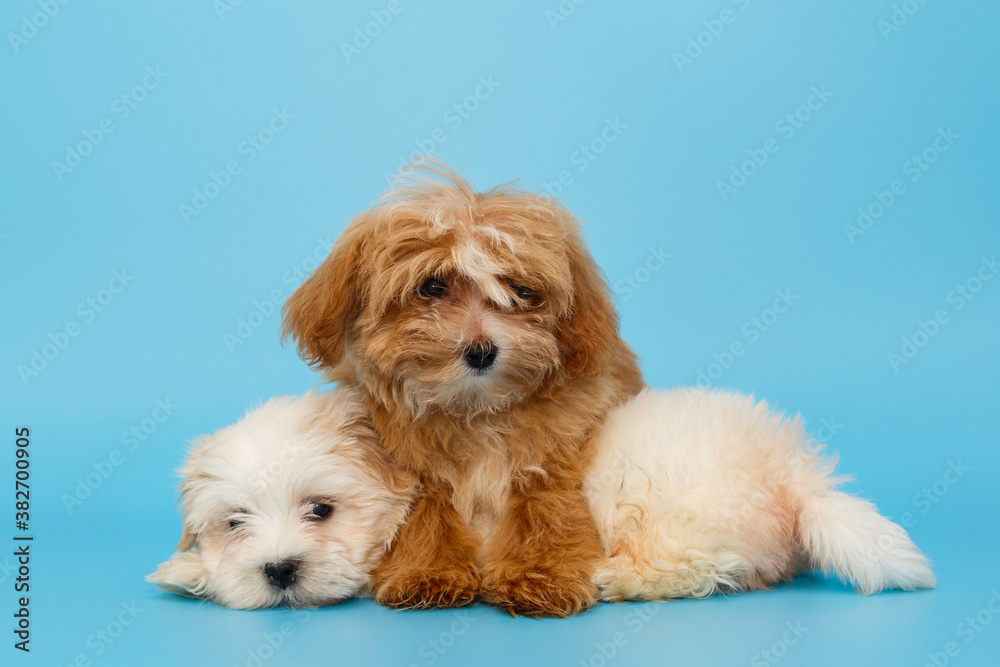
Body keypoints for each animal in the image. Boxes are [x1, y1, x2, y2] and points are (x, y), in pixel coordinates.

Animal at [282, 159, 644, 616]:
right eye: (432, 287)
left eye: (521, 291)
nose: (482, 351)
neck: (476, 410)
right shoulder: (416, 470)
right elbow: (427, 516)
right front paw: (427, 572)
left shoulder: (553, 458)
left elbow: (545, 510)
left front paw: (541, 575)